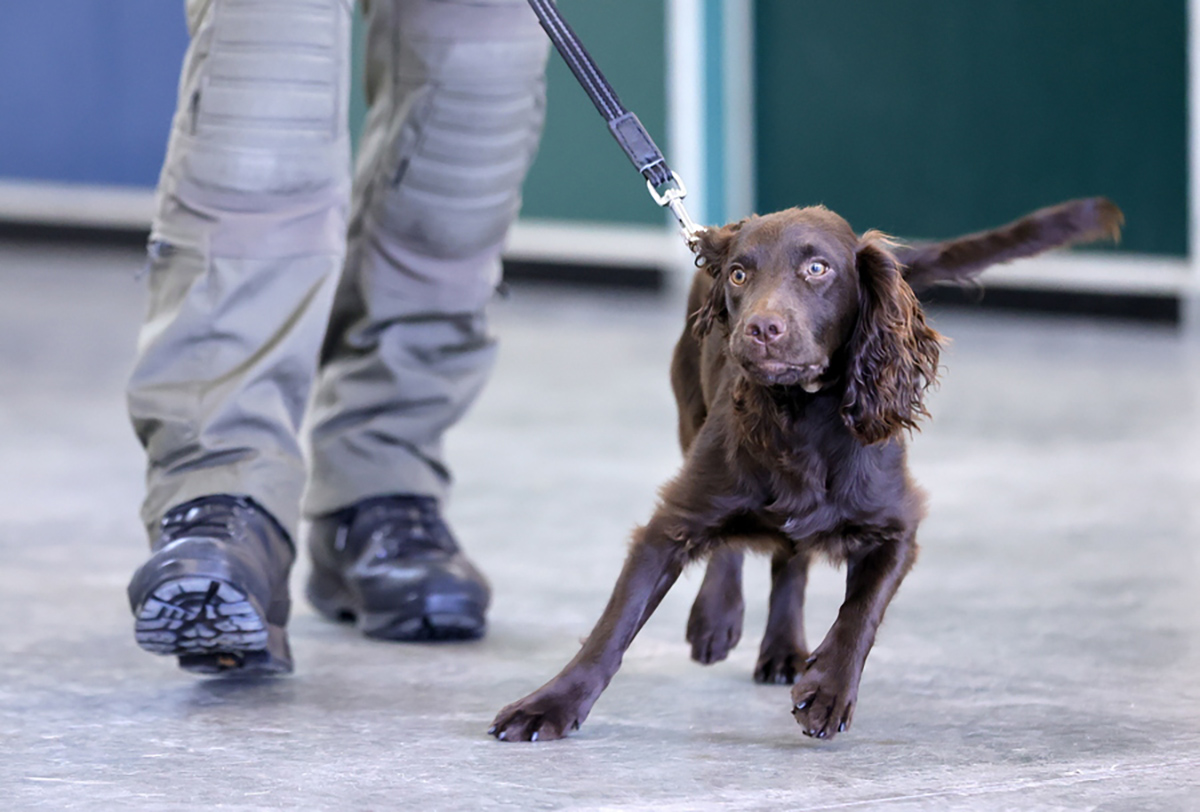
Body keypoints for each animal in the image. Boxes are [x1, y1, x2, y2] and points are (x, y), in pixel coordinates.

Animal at [489, 197, 1123, 738]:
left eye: (818, 269)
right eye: (739, 275)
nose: (761, 330)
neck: (801, 417)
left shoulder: (898, 526)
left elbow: (860, 611)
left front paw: (829, 690)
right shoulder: (670, 523)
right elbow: (613, 626)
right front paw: (550, 704)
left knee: (791, 559)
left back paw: (781, 647)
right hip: (691, 417)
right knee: (740, 544)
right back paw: (717, 618)